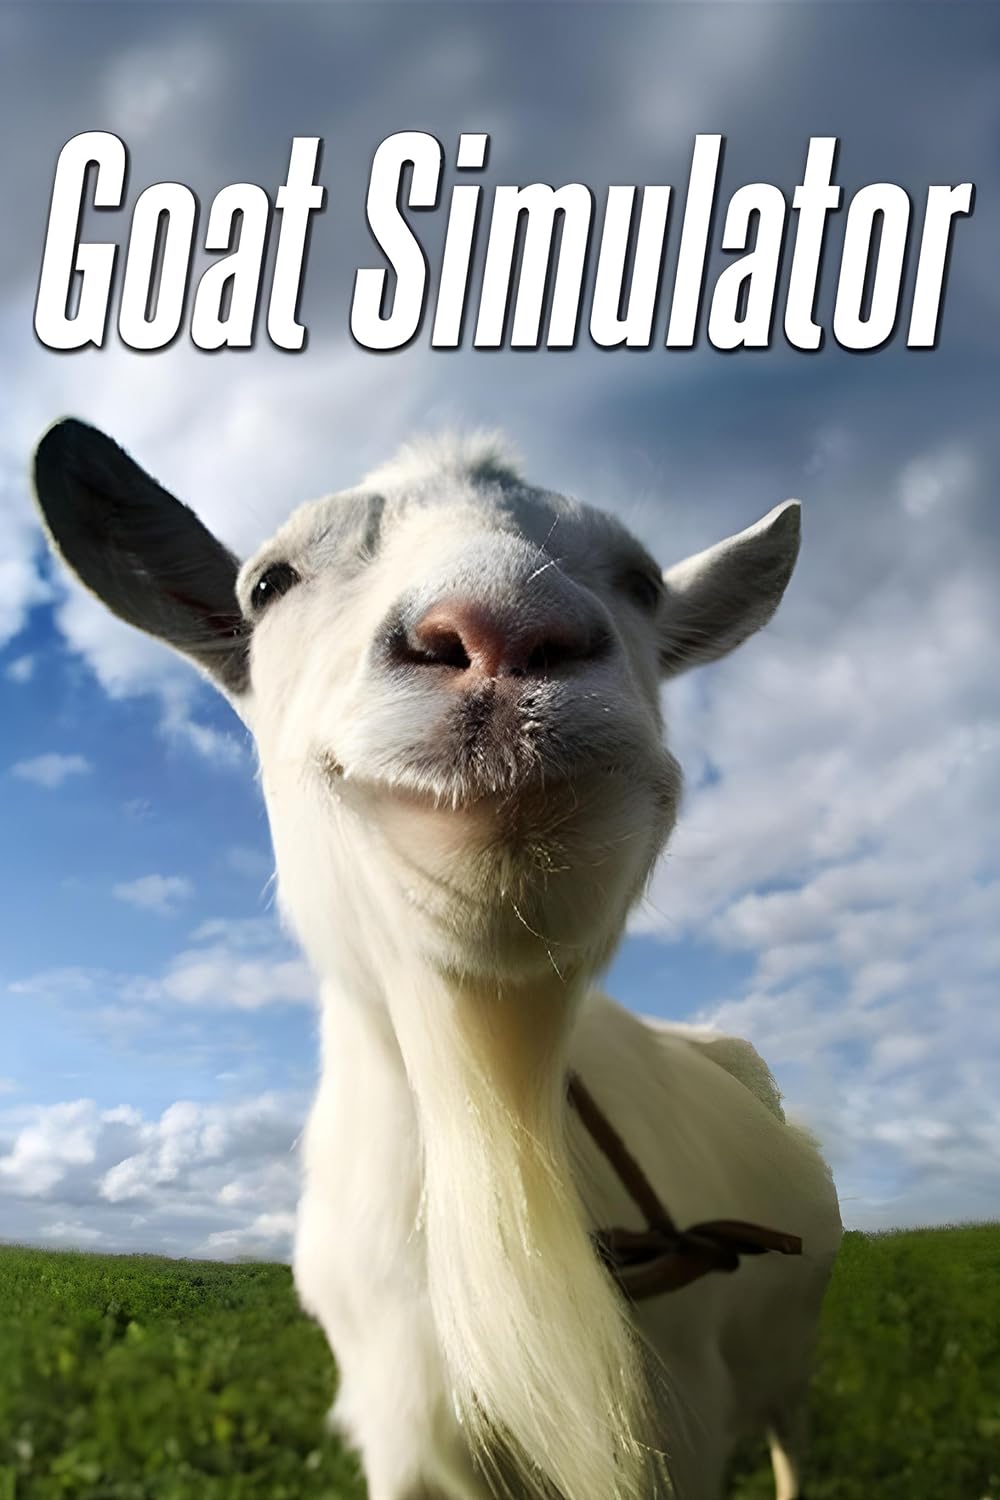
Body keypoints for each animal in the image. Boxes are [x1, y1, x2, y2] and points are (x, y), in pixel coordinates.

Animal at [33, 420, 841, 1500]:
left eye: (640, 580)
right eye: (269, 582)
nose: (505, 631)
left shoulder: (677, 1430)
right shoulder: (399, 1432)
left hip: (790, 1357)